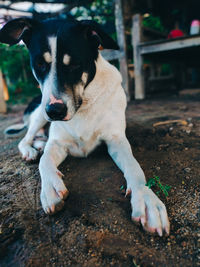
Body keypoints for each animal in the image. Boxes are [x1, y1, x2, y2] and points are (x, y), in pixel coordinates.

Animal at [0, 17, 170, 238]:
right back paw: (31, 149)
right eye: (40, 64)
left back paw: (38, 144)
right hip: (39, 113)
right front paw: (50, 188)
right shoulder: (57, 142)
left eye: (74, 64)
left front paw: (146, 198)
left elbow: (134, 167)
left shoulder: (116, 139)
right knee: (25, 139)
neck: (84, 105)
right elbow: (45, 160)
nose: (55, 111)